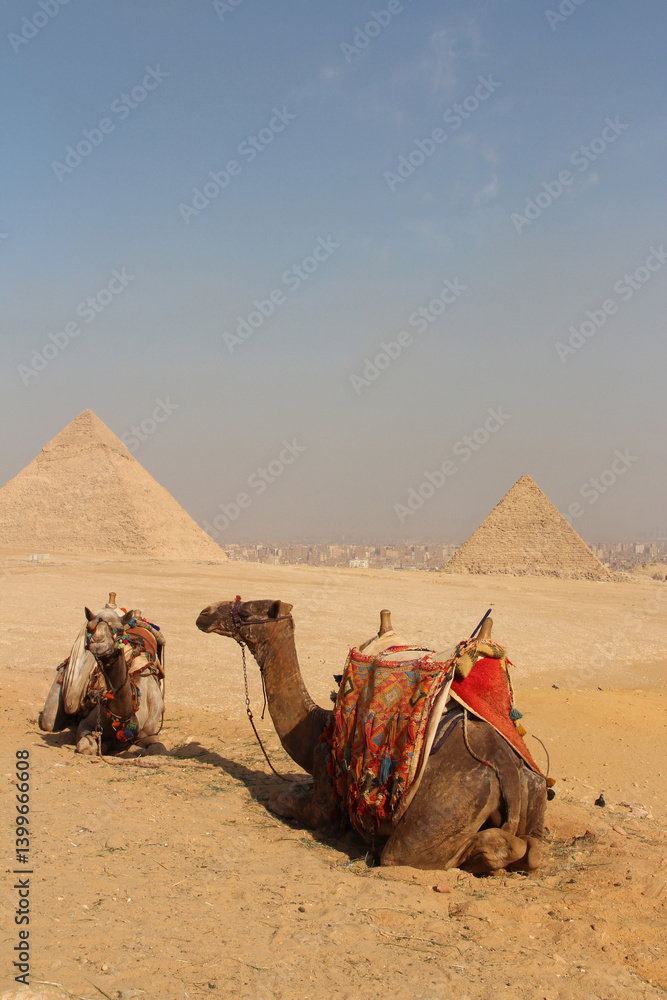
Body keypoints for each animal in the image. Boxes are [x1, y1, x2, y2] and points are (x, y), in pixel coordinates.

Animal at [40, 606, 166, 756]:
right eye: (89, 628)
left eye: (119, 630)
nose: (98, 642)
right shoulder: (87, 724)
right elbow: (87, 746)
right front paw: (105, 745)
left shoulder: (150, 732)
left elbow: (157, 748)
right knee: (48, 722)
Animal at [196, 598, 547, 874]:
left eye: (246, 611)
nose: (204, 613)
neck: (318, 728)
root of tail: (506, 766)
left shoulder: (326, 802)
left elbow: (278, 799)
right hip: (533, 791)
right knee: (531, 851)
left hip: (445, 807)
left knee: (420, 851)